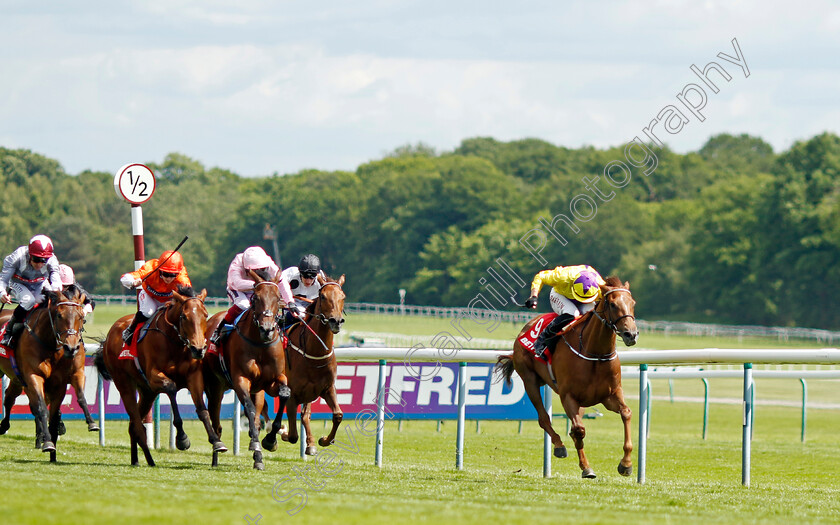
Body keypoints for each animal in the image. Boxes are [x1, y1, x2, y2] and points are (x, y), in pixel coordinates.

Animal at [0, 284, 87, 460]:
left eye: (81, 316)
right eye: (59, 315)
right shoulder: (33, 376)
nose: (71, 347)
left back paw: (4, 426)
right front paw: (47, 443)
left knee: (9, 397)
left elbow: (53, 414)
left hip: (16, 378)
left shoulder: (59, 382)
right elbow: (40, 409)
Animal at [94, 286, 226, 466]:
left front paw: (216, 441)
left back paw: (138, 460)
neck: (175, 343)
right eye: (184, 316)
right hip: (124, 384)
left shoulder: (193, 377)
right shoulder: (154, 377)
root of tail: (109, 337)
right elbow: (171, 388)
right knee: (137, 424)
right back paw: (149, 460)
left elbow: (202, 410)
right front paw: (182, 439)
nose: (199, 349)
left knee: (133, 425)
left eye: (205, 314)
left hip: (147, 393)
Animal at [204, 268, 292, 468]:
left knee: (257, 414)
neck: (260, 343)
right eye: (256, 298)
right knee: (216, 421)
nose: (267, 329)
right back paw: (216, 454)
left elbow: (284, 394)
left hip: (256, 390)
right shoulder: (240, 379)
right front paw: (256, 444)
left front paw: (270, 440)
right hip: (215, 386)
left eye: (278, 297)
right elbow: (250, 410)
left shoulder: (272, 380)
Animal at [498, 278, 636, 478]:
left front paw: (626, 464)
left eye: (633, 303)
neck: (595, 353)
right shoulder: (568, 396)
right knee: (544, 419)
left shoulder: (610, 395)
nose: (631, 334)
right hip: (530, 381)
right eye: (612, 304)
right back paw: (559, 445)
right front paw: (586, 467)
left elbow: (626, 413)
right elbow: (579, 430)